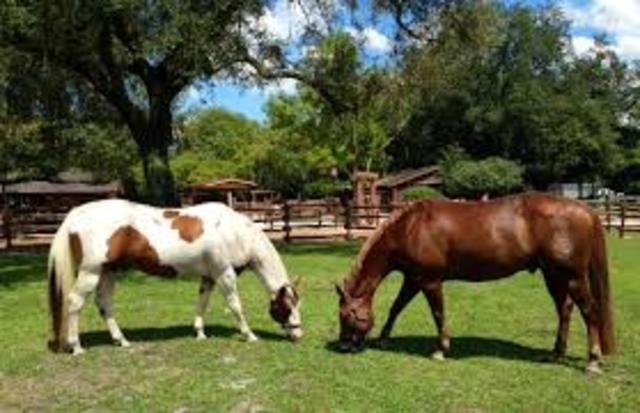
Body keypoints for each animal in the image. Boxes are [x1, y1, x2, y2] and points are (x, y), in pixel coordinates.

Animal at [47, 199, 302, 355]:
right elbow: (235, 306)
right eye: (286, 307)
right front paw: (249, 335)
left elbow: (202, 304)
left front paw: (200, 333)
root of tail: (76, 214)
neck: (235, 232)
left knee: (105, 304)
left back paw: (121, 340)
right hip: (91, 272)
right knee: (75, 303)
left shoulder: (209, 277)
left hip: (107, 272)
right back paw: (76, 347)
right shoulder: (224, 274)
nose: (298, 334)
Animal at [336, 192, 614, 373]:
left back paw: (593, 361)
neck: (409, 228)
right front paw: (383, 338)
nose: (343, 346)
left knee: (590, 312)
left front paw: (441, 350)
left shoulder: (430, 281)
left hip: (572, 277)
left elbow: (438, 313)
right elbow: (396, 307)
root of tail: (586, 210)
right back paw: (556, 353)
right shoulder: (413, 280)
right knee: (564, 309)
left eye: (346, 316)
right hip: (554, 276)